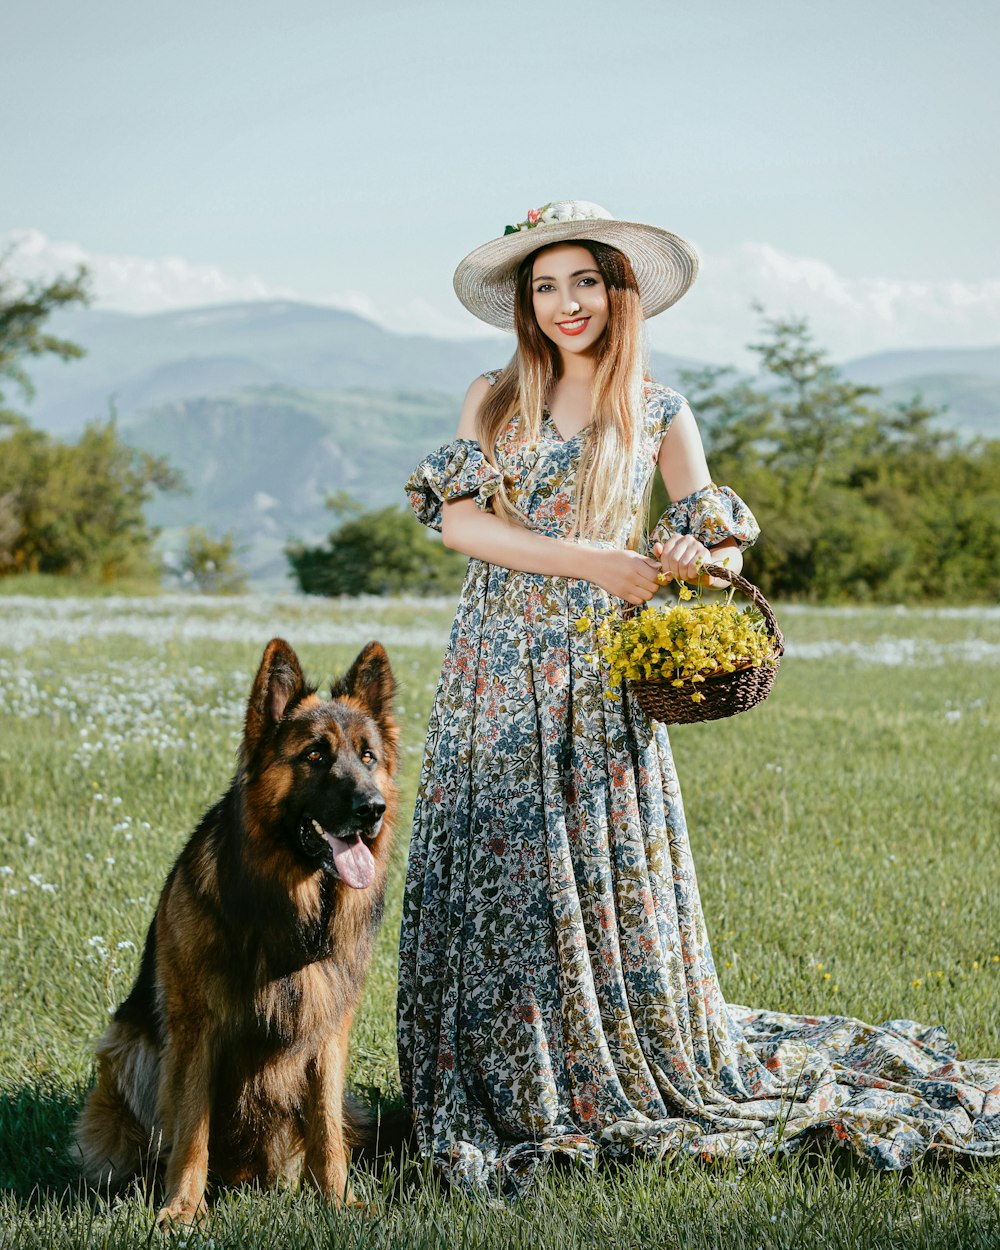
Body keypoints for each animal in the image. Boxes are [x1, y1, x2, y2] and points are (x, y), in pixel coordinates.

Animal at [75, 640, 397, 1225]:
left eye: (368, 757)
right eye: (315, 755)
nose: (372, 810)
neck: (292, 911)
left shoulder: (328, 1033)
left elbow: (325, 1130)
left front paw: (338, 1201)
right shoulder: (196, 1028)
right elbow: (192, 1129)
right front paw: (182, 1210)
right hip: (129, 1052)